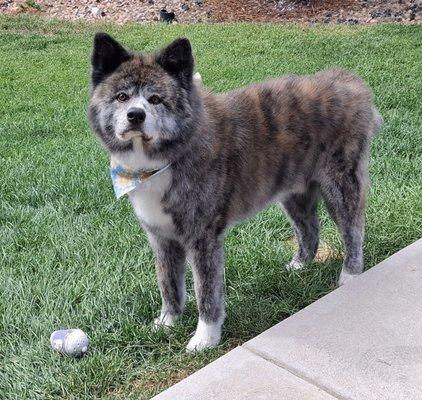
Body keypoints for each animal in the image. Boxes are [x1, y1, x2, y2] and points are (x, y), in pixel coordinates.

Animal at [88, 35, 382, 354]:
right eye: (121, 97)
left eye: (155, 99)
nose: (135, 115)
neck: (164, 159)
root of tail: (351, 83)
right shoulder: (161, 237)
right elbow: (168, 284)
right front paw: (167, 323)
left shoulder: (203, 238)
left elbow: (206, 292)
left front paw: (204, 338)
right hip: (294, 194)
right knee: (309, 230)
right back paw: (300, 265)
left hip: (341, 187)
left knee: (353, 231)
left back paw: (350, 275)